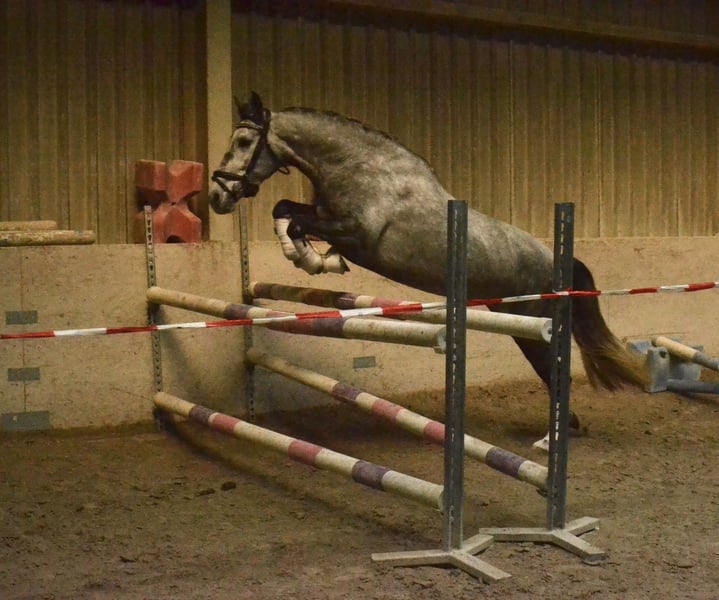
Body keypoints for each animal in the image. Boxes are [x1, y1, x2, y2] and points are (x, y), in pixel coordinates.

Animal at [209, 92, 648, 447]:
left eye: (244, 142)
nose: (216, 195)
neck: (357, 165)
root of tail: (555, 259)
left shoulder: (357, 234)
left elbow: (299, 223)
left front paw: (316, 260)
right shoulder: (326, 215)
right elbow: (284, 209)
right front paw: (308, 256)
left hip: (533, 325)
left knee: (556, 373)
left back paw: (554, 436)